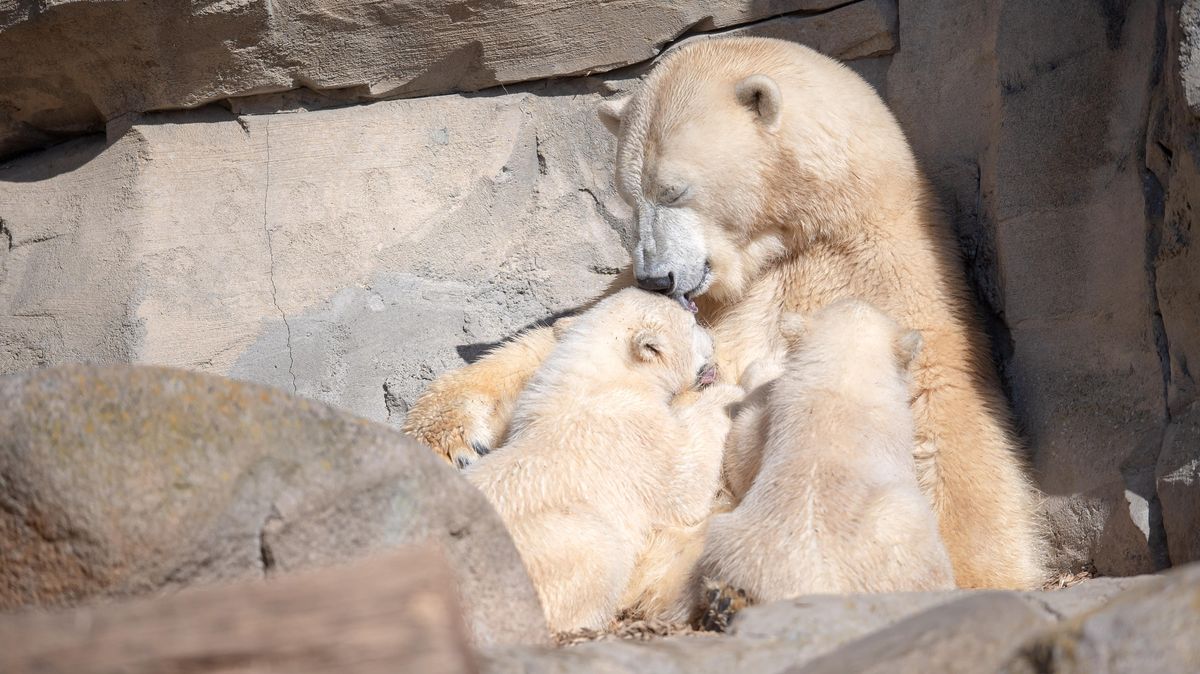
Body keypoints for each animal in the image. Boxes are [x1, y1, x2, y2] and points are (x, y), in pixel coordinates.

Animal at [408, 38, 1046, 587]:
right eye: (628, 194)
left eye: (674, 189)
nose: (657, 277)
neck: (797, 237)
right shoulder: (712, 297)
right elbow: (565, 335)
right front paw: (449, 434)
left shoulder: (881, 272)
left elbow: (939, 405)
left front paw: (974, 568)